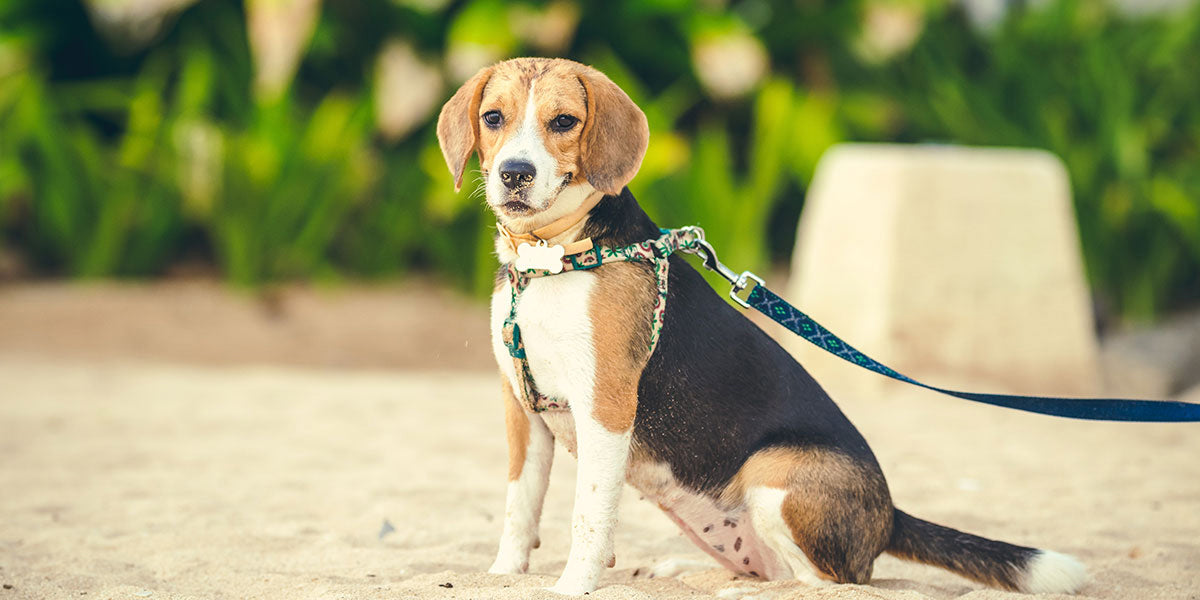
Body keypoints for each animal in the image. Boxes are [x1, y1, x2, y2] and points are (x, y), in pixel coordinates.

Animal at [434, 56, 1089, 595]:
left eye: (564, 121)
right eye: (493, 118)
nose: (515, 173)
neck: (551, 259)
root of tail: (888, 514)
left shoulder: (606, 405)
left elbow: (588, 515)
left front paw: (573, 585)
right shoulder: (522, 408)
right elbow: (521, 506)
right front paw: (502, 574)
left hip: (773, 471)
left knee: (831, 584)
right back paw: (690, 572)